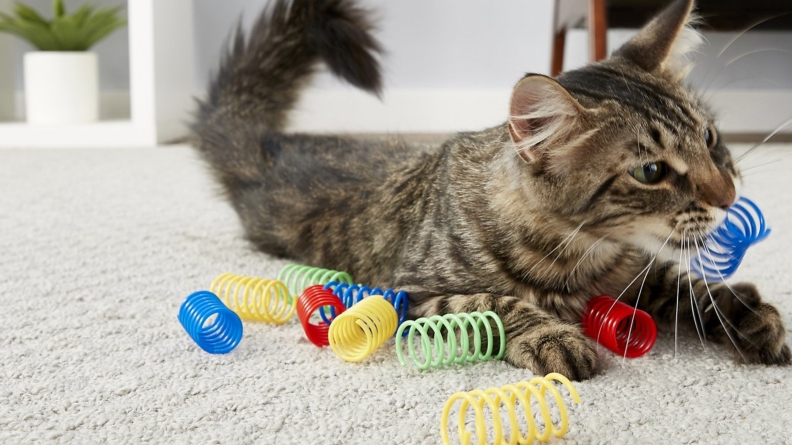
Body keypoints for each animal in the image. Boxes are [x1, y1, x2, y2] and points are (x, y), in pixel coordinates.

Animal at [193, 0, 792, 378]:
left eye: (710, 138)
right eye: (650, 172)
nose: (729, 197)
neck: (587, 252)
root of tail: (272, 145)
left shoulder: (636, 273)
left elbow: (691, 285)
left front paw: (745, 312)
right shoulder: (411, 291)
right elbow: (497, 302)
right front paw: (553, 336)